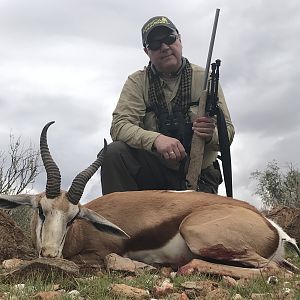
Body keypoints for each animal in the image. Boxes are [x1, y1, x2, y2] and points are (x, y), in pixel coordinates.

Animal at [0, 120, 300, 278]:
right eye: (41, 210)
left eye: (73, 218)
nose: (50, 254)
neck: (83, 231)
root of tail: (271, 226)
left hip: (197, 234)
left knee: (274, 271)